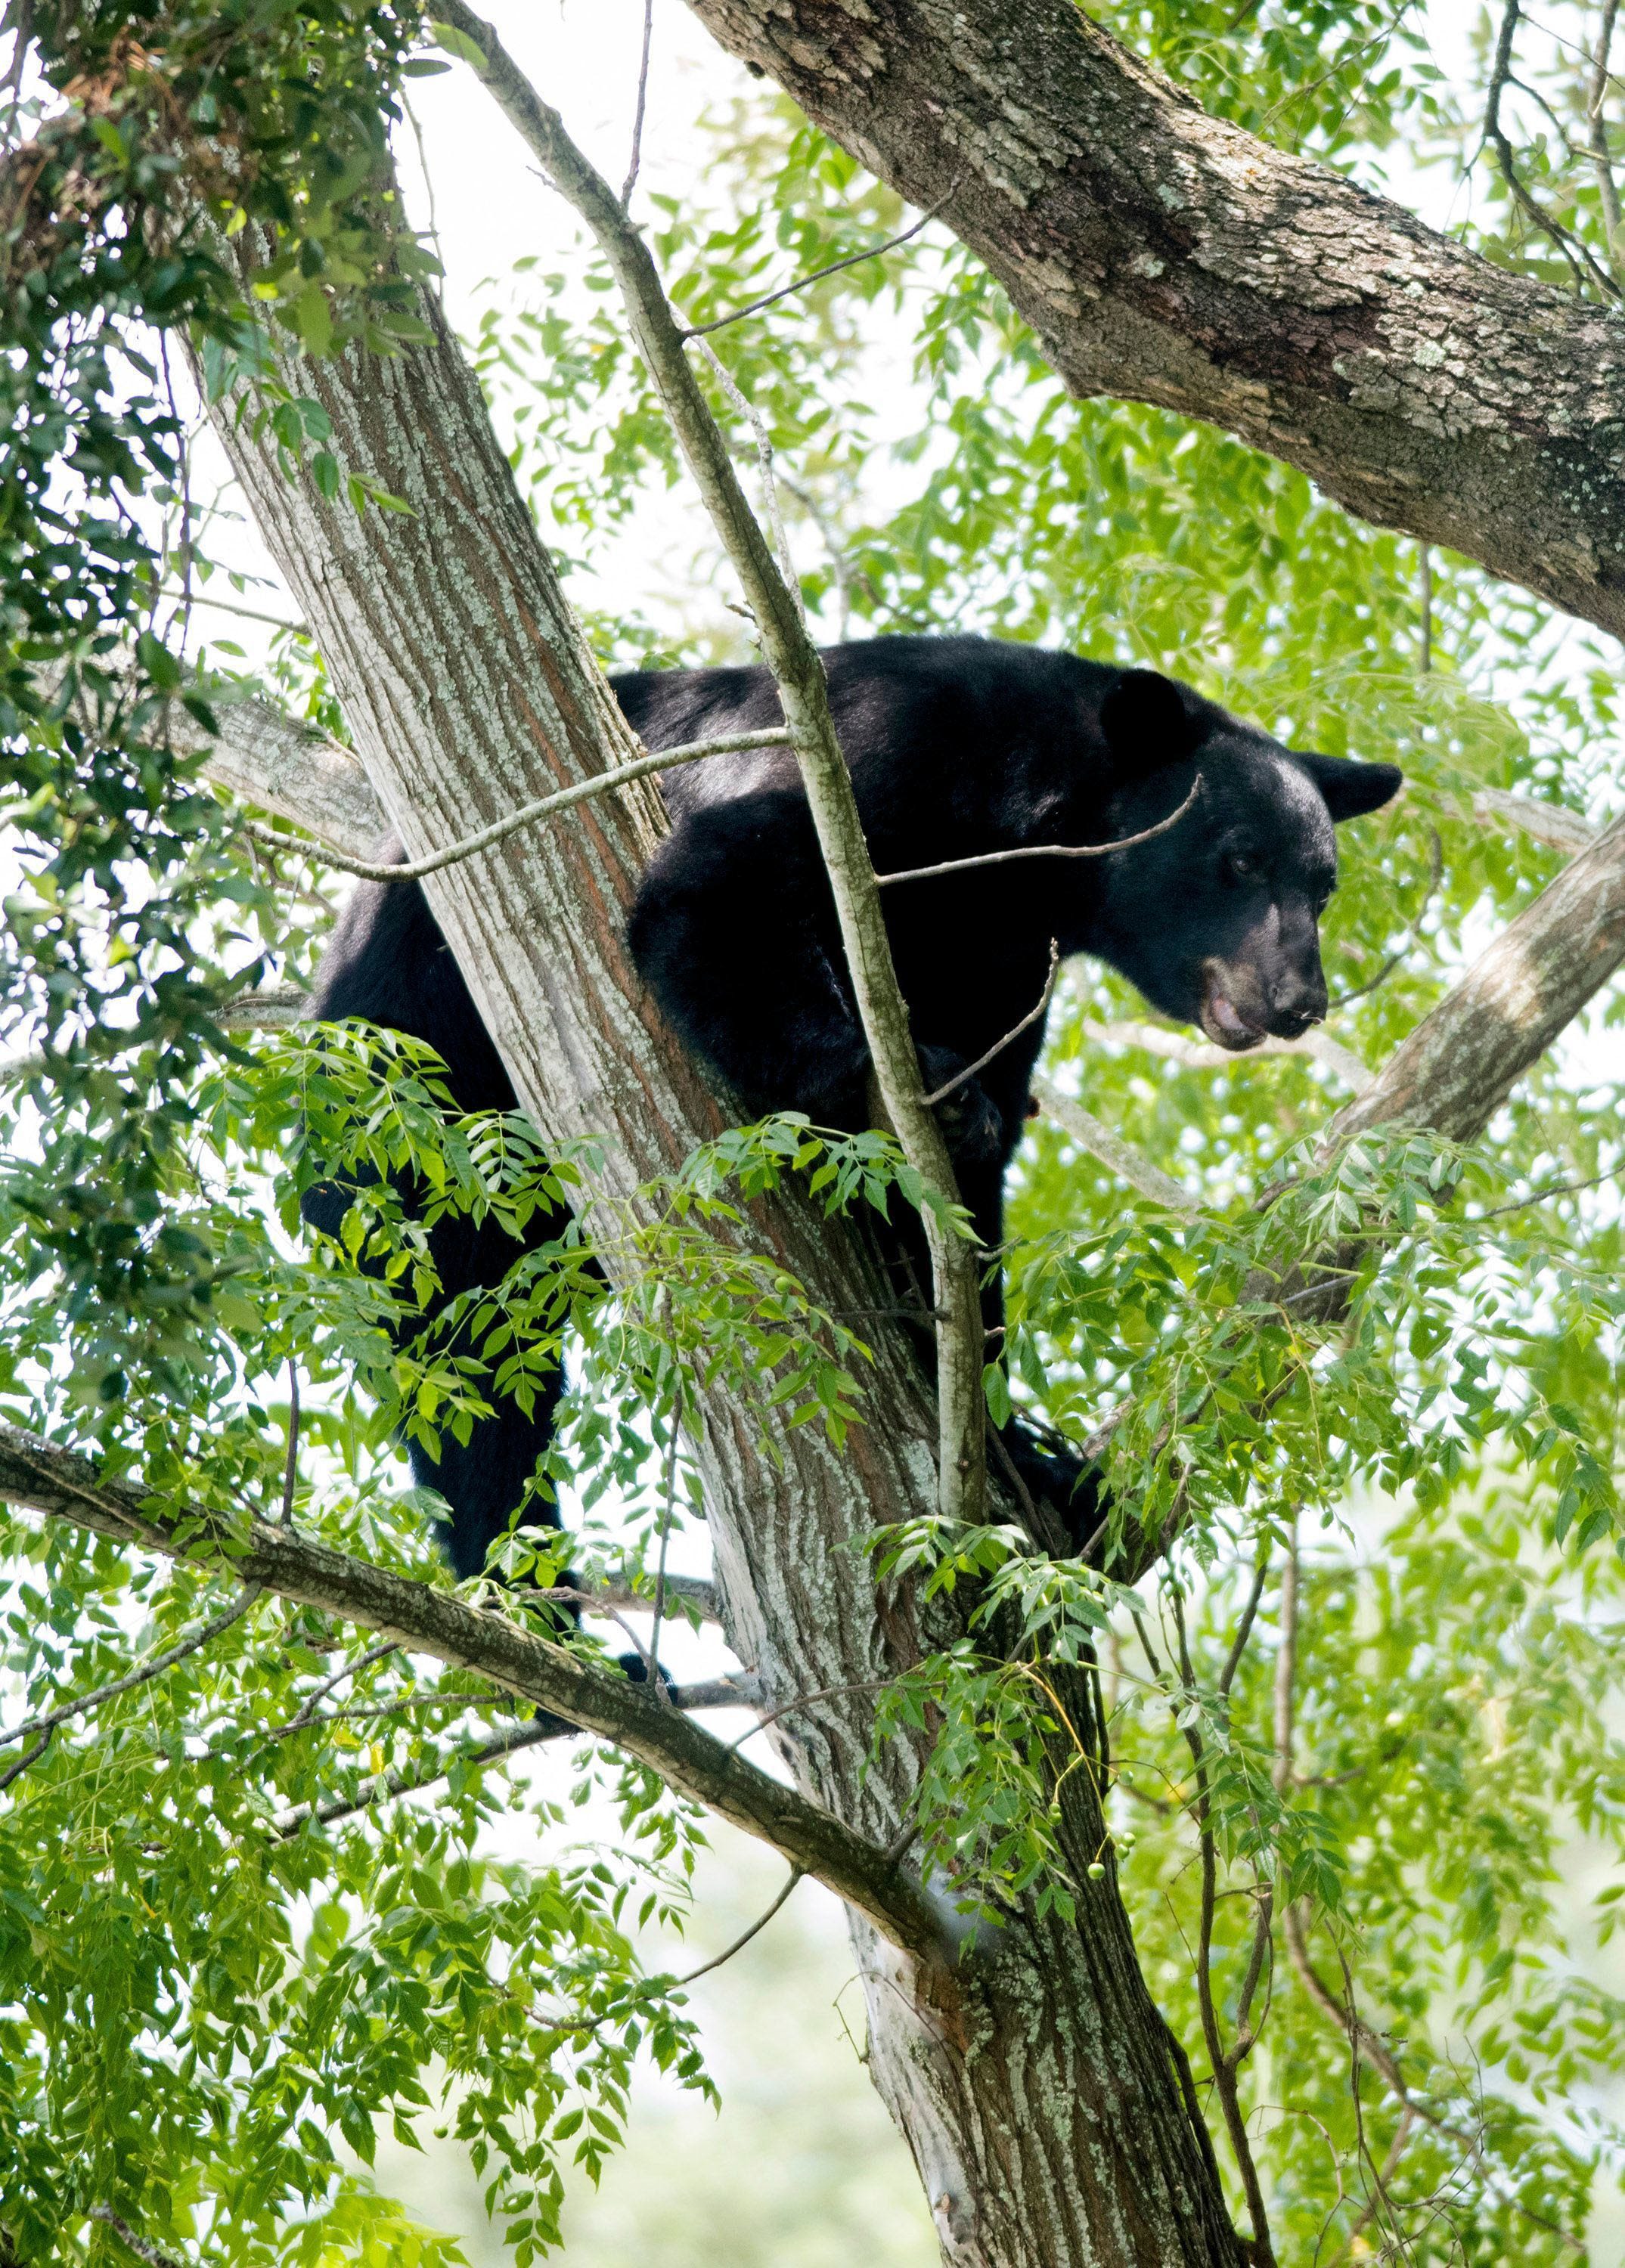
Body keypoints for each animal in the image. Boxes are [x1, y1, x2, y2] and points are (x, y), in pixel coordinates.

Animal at [311, 631, 1406, 1569]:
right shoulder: (878, 771)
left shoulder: (1006, 966)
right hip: (419, 1107)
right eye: (1238, 858)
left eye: (1323, 887)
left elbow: (968, 1207)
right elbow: (715, 895)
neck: (1025, 851)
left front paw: (1027, 1452)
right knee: (470, 1380)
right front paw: (890, 1082)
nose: (1299, 1000)